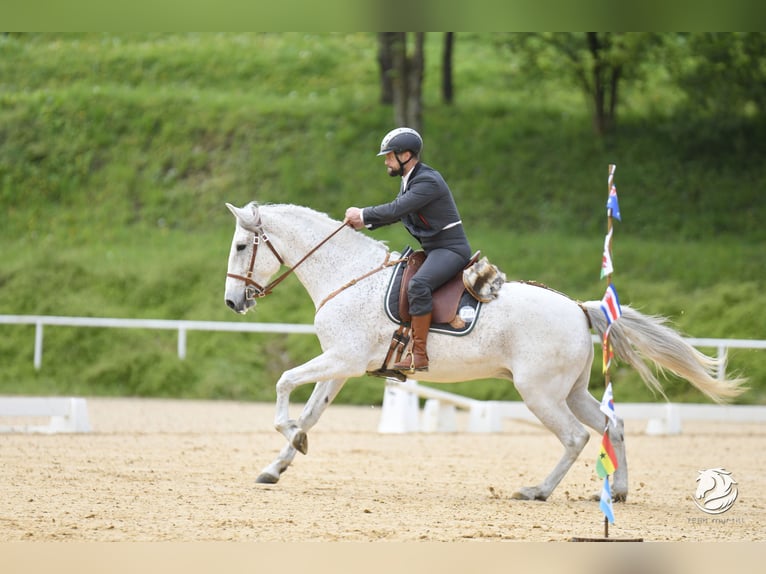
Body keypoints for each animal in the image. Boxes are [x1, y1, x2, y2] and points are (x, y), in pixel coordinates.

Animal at [224, 202, 752, 504]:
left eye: (242, 245)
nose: (233, 303)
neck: (347, 274)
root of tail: (578, 309)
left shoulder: (342, 360)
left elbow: (284, 384)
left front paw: (289, 438)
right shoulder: (341, 365)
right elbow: (310, 413)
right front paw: (279, 463)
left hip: (539, 393)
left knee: (575, 437)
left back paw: (537, 491)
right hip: (571, 390)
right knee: (612, 426)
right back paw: (617, 492)